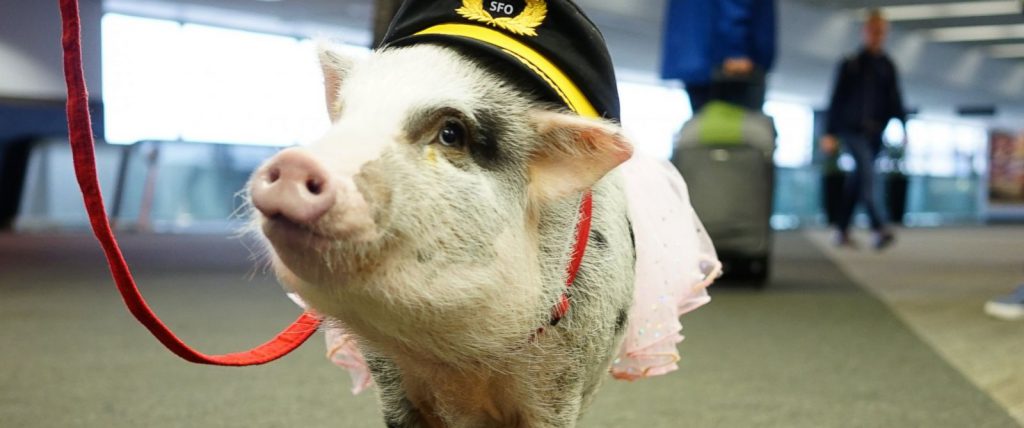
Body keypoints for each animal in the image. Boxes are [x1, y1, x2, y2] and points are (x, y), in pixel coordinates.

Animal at [246, 44, 638, 427]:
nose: (295, 164)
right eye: (343, 117)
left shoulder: (564, 380)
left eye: (451, 134)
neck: (458, 358)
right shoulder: (388, 376)